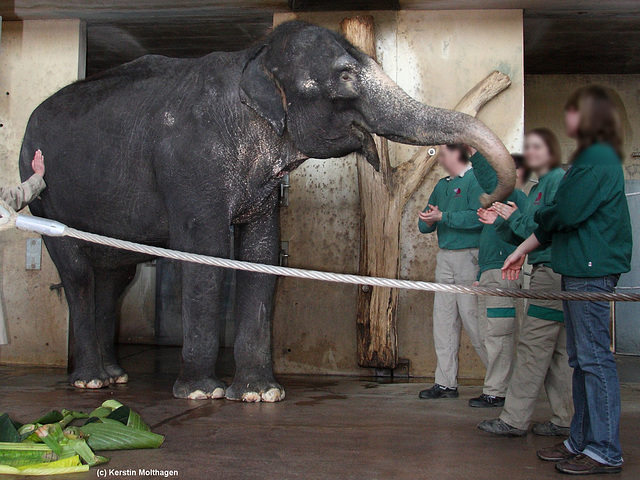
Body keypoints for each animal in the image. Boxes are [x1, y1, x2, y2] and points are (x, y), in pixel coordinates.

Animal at [18, 19, 516, 402]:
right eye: (345, 77)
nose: (489, 202)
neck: (252, 59)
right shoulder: (191, 161)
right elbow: (206, 251)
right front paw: (202, 393)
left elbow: (261, 252)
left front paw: (261, 394)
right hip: (42, 191)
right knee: (78, 273)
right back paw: (89, 382)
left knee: (114, 275)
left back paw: (113, 377)